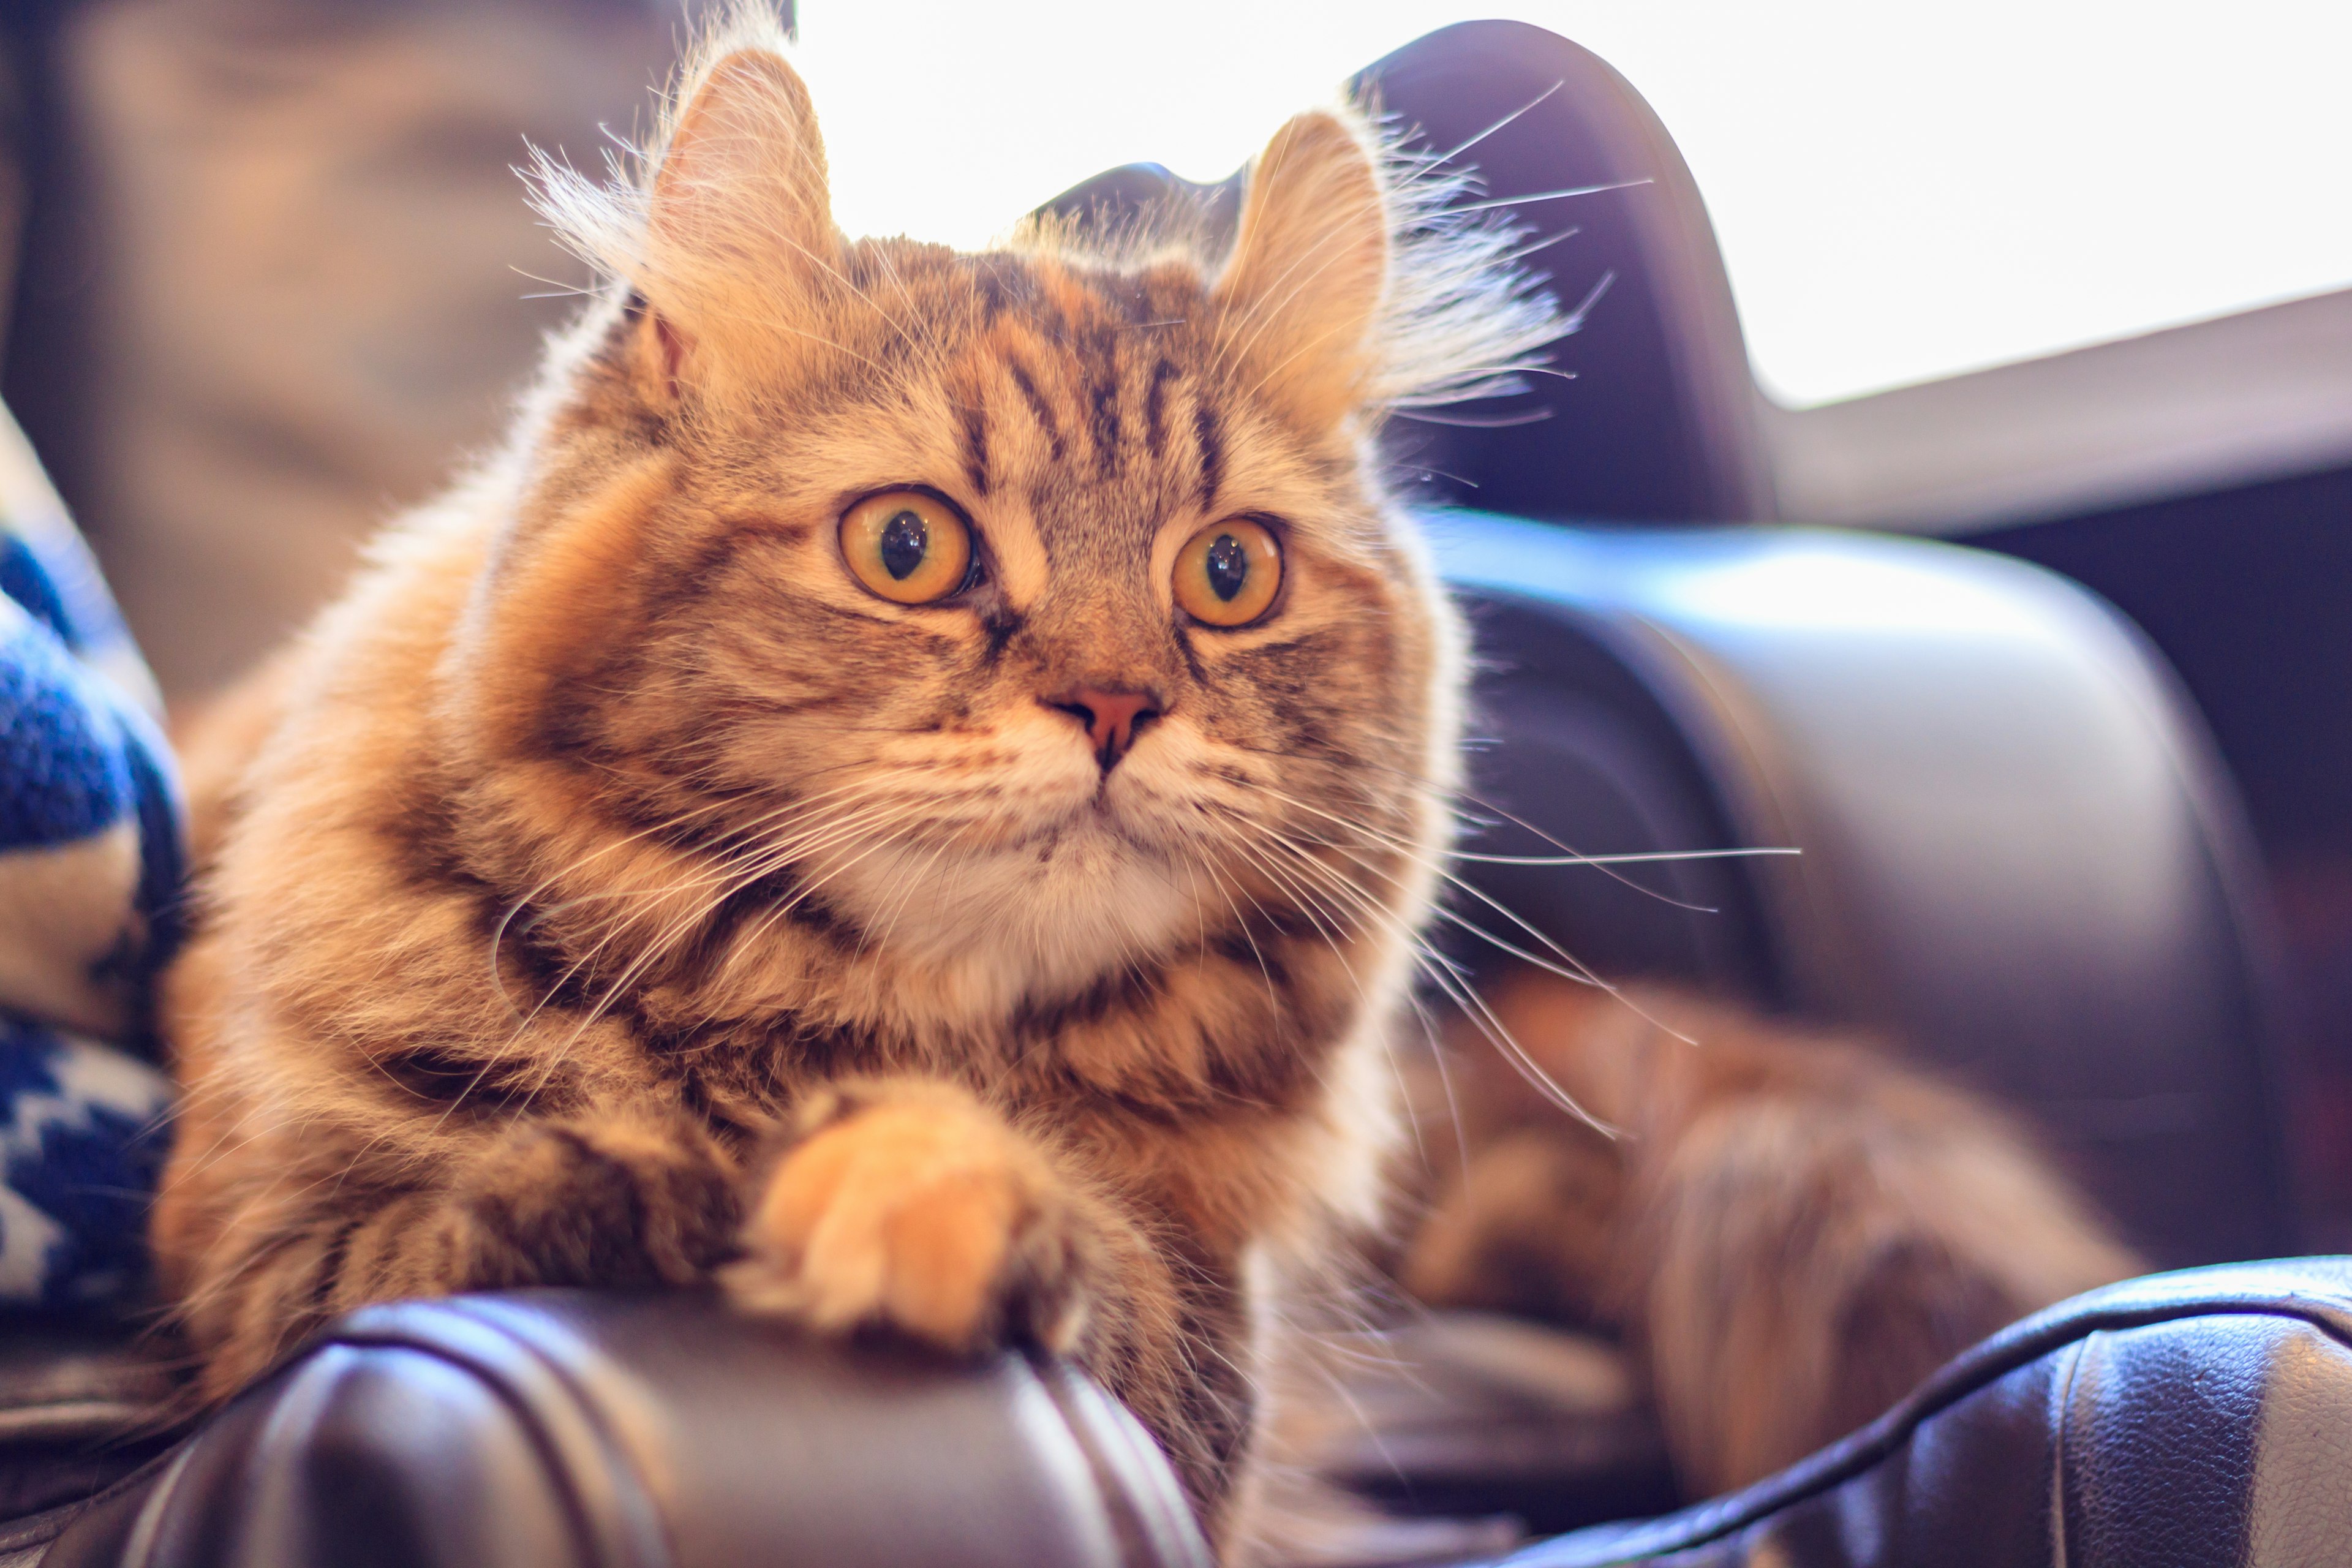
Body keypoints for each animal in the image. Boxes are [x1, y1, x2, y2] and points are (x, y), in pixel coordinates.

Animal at [156, 6, 1571, 1551]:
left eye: (1228, 573)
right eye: (907, 548)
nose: (1116, 704)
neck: (838, 1017)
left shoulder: (1212, 1349)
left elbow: (1118, 1279)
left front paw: (928, 1184)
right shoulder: (278, 1260)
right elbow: (521, 1197)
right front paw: (754, 1179)